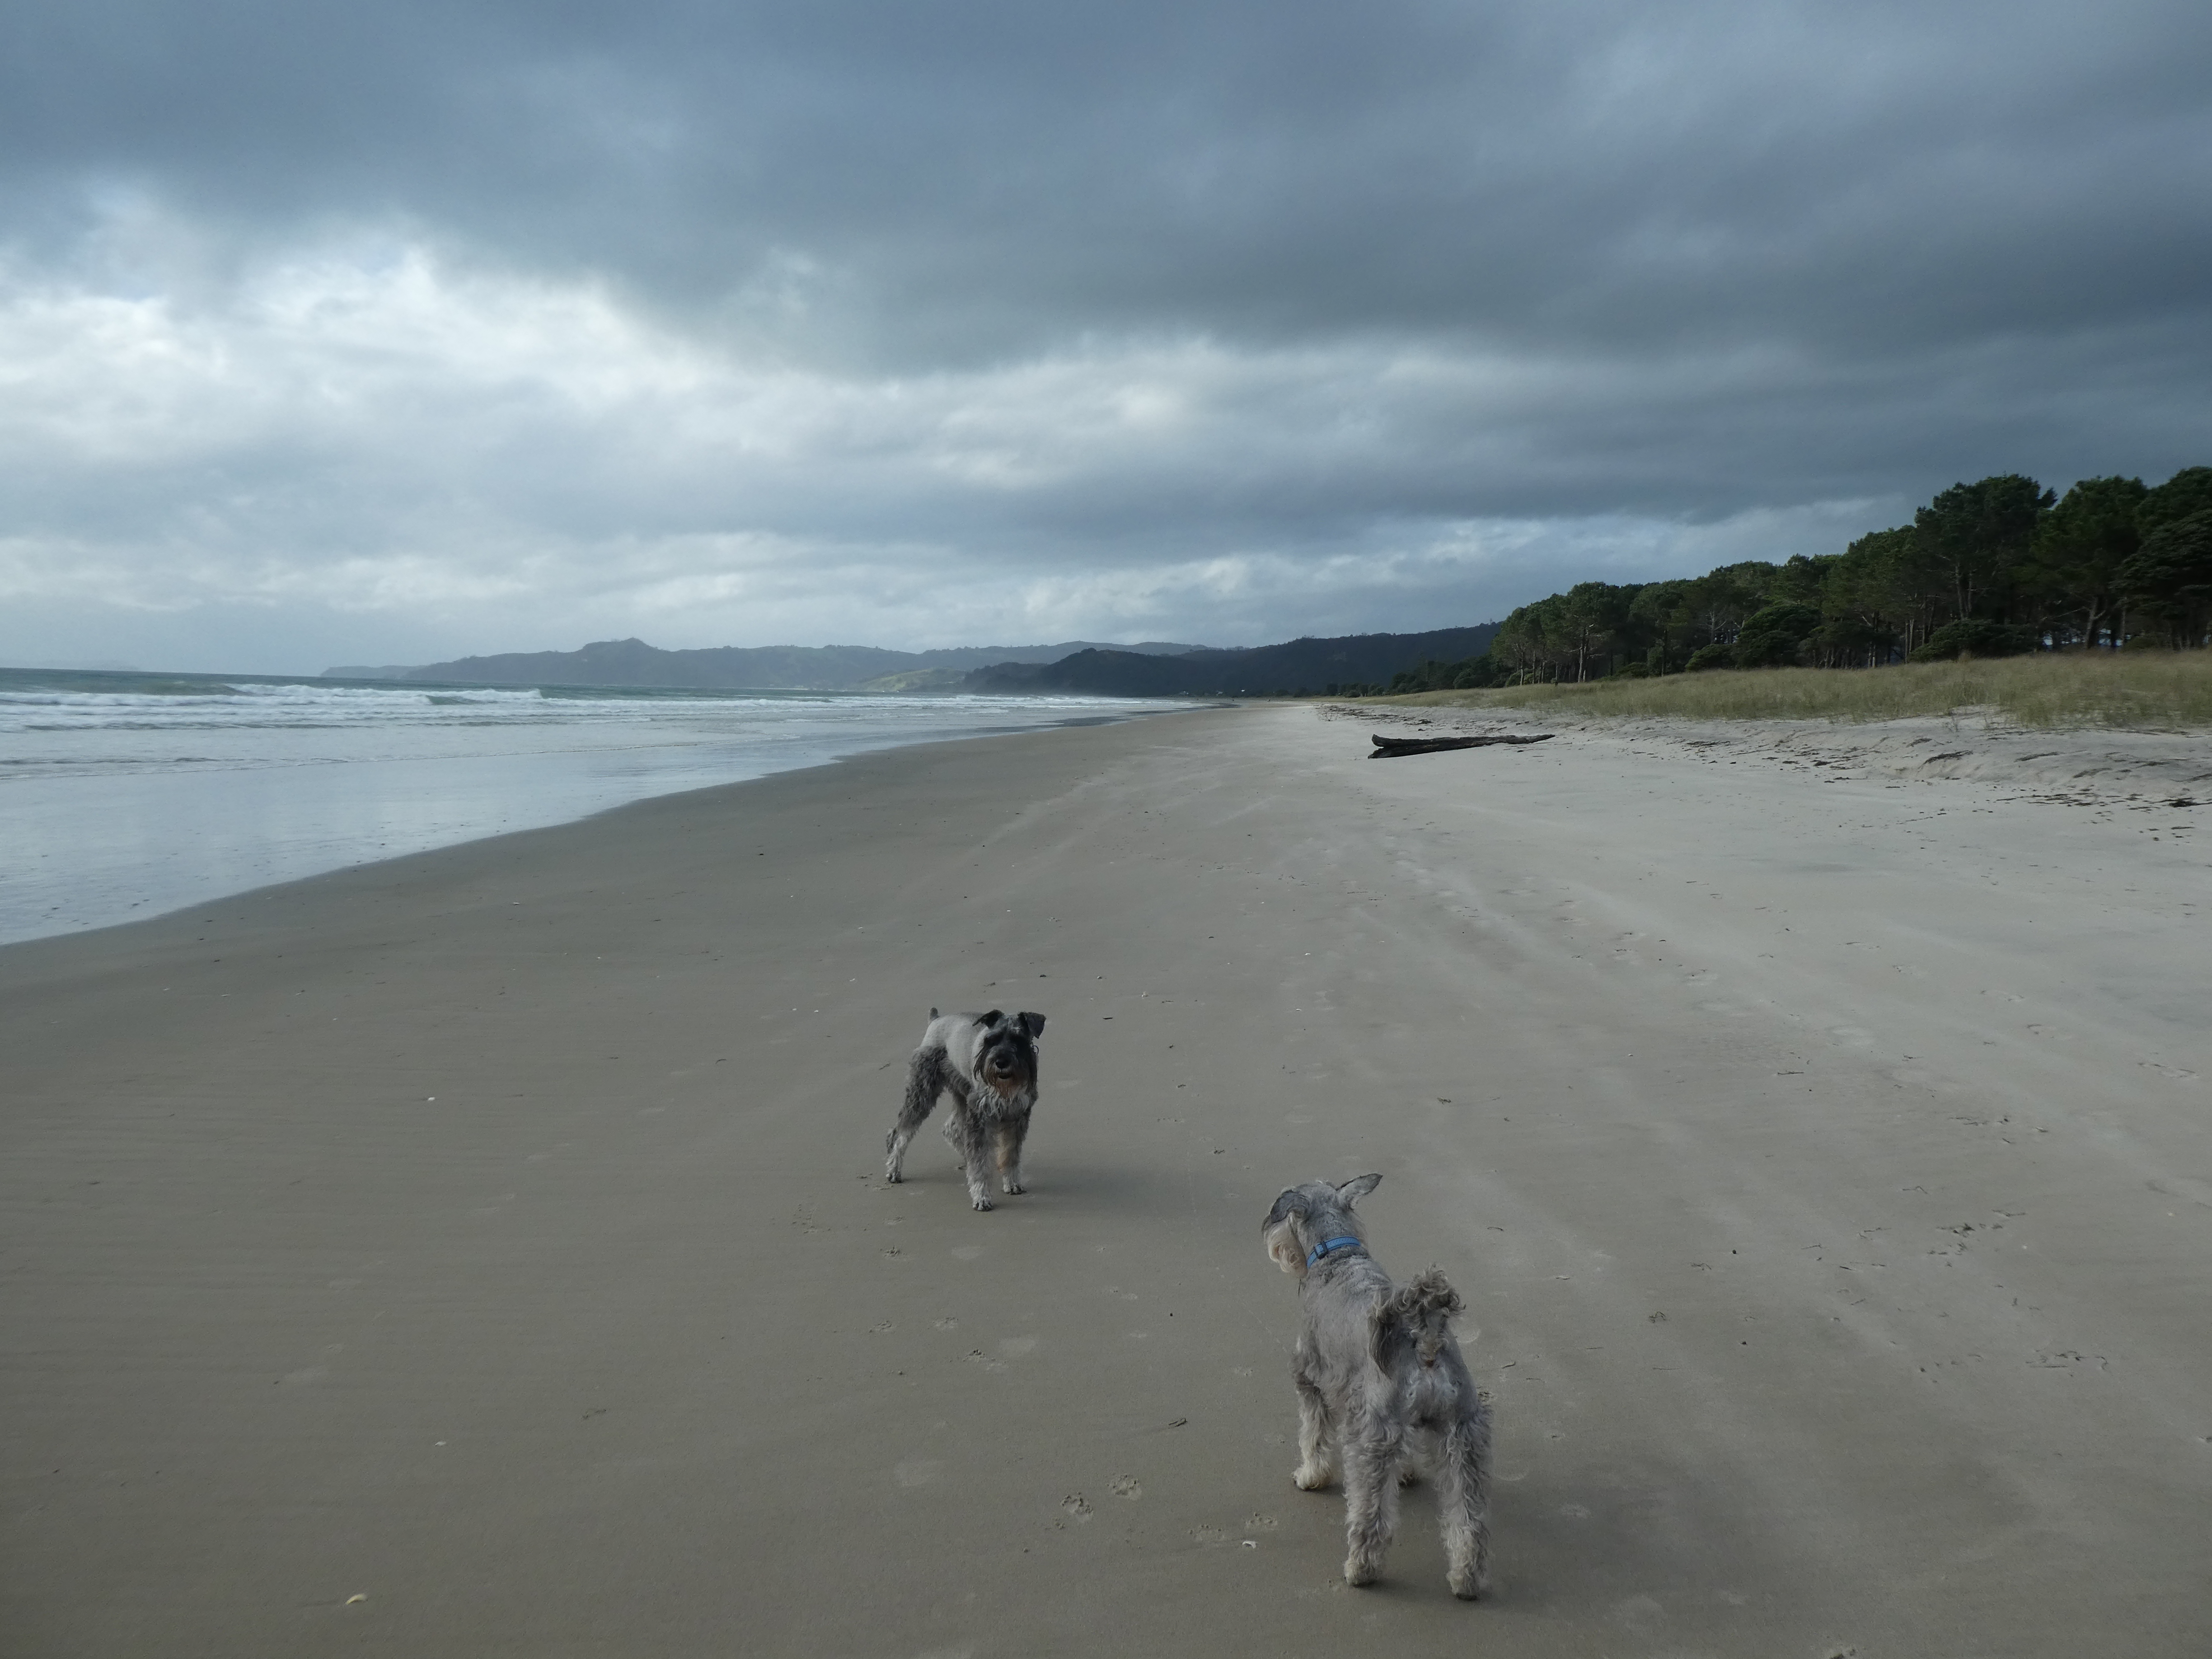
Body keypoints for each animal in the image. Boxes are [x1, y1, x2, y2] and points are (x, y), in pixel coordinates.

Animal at [884, 1008, 1045, 1210]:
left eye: (1018, 1039)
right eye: (991, 1039)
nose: (1001, 1062)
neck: (1005, 1087)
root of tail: (936, 1019)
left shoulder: (1018, 1117)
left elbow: (1011, 1154)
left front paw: (1012, 1183)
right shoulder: (979, 1116)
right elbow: (980, 1161)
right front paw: (981, 1197)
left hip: (961, 1093)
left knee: (951, 1128)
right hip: (922, 1092)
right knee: (901, 1132)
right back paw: (893, 1169)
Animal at [1262, 1174, 1492, 1598]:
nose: (1274, 1243)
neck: (1337, 1256)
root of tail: (1425, 1340)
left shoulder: (1311, 1381)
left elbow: (1313, 1436)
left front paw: (1311, 1476)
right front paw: (1406, 1474)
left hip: (1370, 1435)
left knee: (1372, 1518)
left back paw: (1360, 1570)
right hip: (1464, 1432)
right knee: (1469, 1521)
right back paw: (1465, 1579)